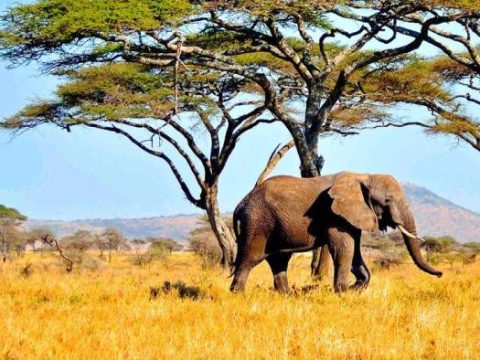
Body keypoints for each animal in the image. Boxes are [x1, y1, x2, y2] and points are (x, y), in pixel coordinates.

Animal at [230, 172, 442, 292]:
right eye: (387, 200)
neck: (364, 176)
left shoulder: (351, 216)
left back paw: (286, 295)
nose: (440, 274)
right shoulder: (334, 214)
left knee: (279, 261)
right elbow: (344, 248)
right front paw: (342, 291)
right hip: (257, 222)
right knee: (250, 258)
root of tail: (240, 205)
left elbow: (355, 251)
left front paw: (357, 287)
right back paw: (238, 294)